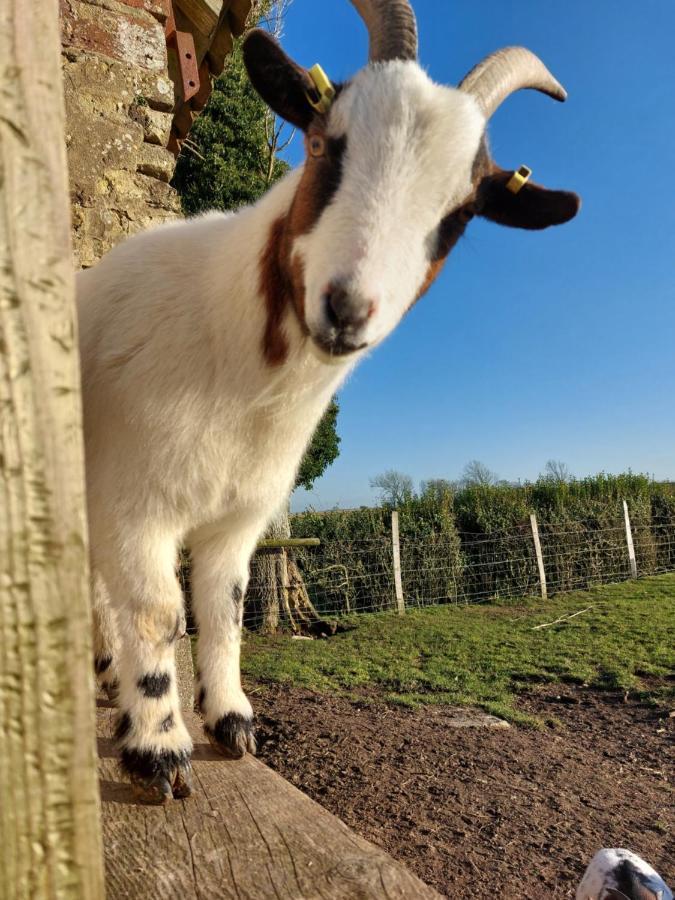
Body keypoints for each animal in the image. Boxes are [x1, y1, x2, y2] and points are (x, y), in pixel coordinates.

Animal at [78, 0, 580, 800]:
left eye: (460, 214)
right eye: (322, 143)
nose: (347, 308)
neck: (238, 377)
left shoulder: (241, 517)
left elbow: (224, 608)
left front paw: (230, 720)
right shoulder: (135, 500)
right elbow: (160, 615)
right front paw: (159, 750)